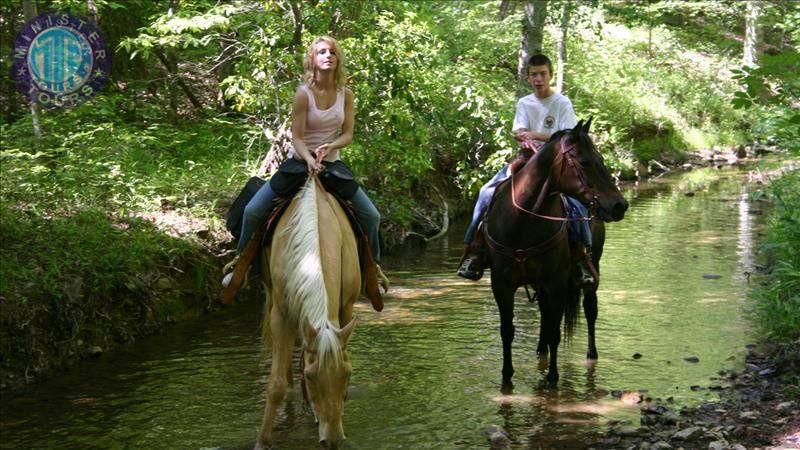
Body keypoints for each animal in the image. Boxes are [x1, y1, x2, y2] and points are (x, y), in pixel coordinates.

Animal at [256, 175, 360, 446]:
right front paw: (262, 442)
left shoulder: (346, 308)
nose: (333, 441)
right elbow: (275, 385)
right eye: (312, 377)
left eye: (347, 374)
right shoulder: (280, 315)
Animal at [484, 118, 628, 386]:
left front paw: (552, 378)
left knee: (590, 310)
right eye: (585, 162)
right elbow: (507, 331)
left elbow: (555, 331)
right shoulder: (502, 285)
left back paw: (591, 355)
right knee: (544, 314)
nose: (620, 205)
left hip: (592, 266)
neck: (523, 222)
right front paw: (506, 377)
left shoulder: (557, 283)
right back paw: (540, 351)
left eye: (602, 159)